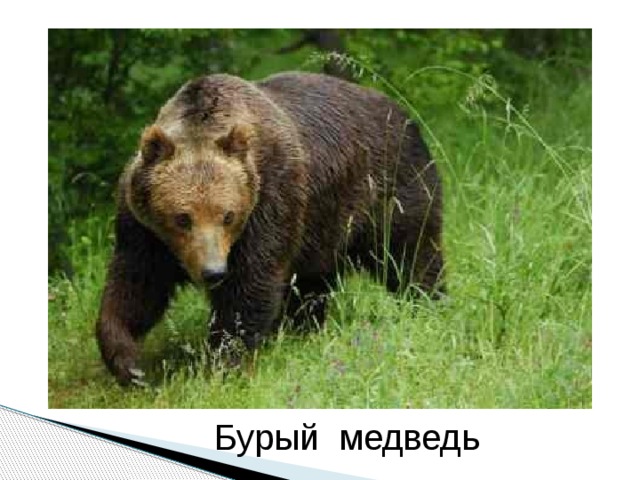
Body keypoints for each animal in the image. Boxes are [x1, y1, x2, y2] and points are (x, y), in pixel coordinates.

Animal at [96, 71, 444, 385]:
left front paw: (222, 362)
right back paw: (304, 329)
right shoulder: (145, 231)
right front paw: (129, 364)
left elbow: (251, 284)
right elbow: (136, 286)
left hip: (387, 189)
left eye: (228, 215)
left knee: (410, 254)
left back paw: (426, 302)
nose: (213, 272)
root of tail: (404, 113)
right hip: (323, 228)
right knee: (312, 284)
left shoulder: (270, 201)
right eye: (183, 217)